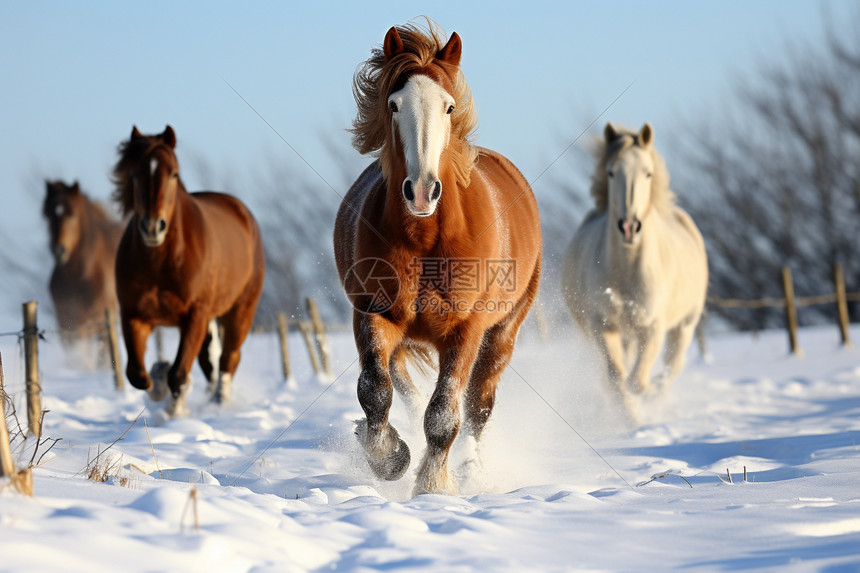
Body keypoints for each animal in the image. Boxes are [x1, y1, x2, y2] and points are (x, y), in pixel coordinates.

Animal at [112, 126, 264, 416]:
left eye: (173, 173)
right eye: (135, 173)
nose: (152, 227)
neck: (160, 263)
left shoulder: (195, 315)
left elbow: (178, 373)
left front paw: (175, 411)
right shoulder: (134, 315)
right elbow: (138, 375)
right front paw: (159, 385)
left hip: (240, 310)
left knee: (228, 358)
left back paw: (219, 401)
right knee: (208, 361)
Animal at [334, 23, 540, 496]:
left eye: (448, 107)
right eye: (393, 104)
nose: (423, 191)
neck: (426, 239)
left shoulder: (467, 330)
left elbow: (445, 413)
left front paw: (433, 486)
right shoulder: (373, 315)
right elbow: (375, 392)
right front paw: (390, 458)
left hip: (502, 334)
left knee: (478, 406)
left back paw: (470, 467)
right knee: (403, 389)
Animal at [564, 122, 704, 420]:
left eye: (648, 173)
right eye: (611, 171)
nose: (629, 227)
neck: (627, 270)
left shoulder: (652, 327)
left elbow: (637, 379)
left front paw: (645, 399)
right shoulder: (603, 325)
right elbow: (617, 375)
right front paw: (631, 416)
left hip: (685, 325)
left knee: (673, 363)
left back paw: (658, 394)